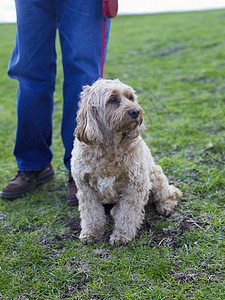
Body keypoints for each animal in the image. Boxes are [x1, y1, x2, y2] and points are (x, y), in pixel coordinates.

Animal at [71, 78, 182, 245]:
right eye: (112, 99)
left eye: (131, 97)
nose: (136, 112)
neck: (109, 146)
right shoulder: (85, 188)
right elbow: (91, 213)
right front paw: (91, 232)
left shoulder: (135, 185)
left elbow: (127, 213)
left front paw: (122, 235)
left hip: (155, 177)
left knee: (170, 193)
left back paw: (165, 206)